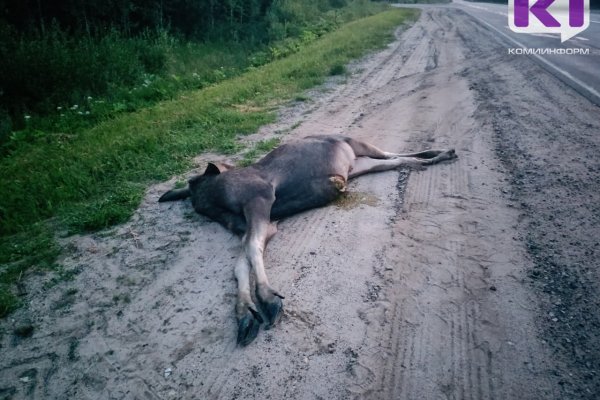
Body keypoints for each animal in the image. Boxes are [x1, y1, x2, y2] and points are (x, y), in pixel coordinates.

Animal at [159, 134, 454, 344]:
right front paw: (245, 314)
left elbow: (251, 251)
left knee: (391, 153)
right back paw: (435, 155)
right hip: (360, 165)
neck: (214, 203)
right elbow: (241, 264)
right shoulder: (262, 223)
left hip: (358, 144)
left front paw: (266, 299)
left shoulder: (259, 199)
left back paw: (441, 153)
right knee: (393, 161)